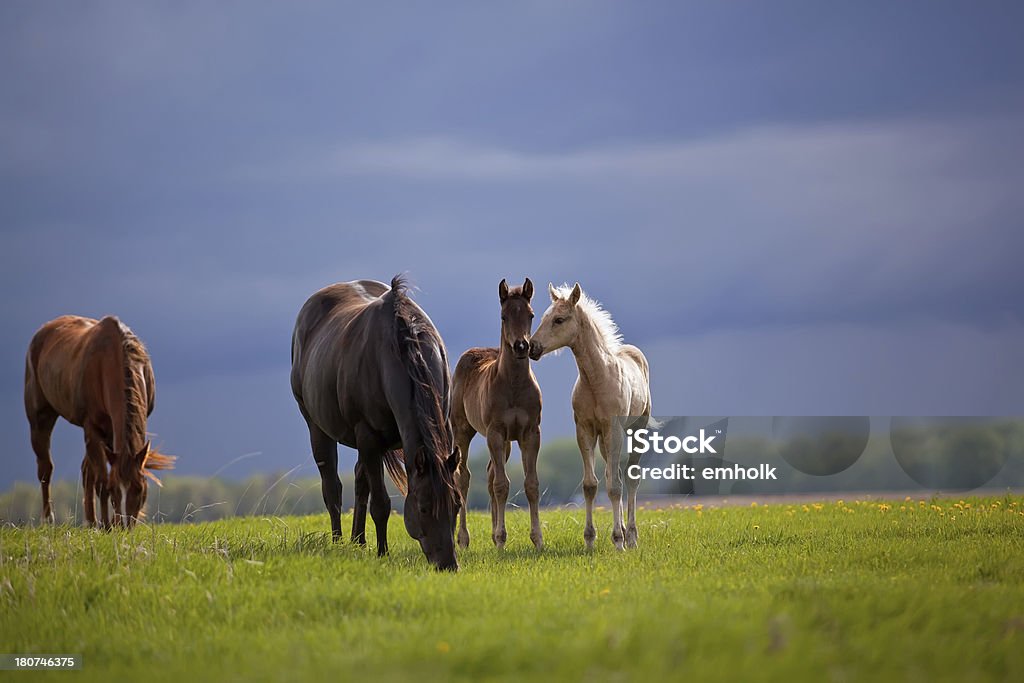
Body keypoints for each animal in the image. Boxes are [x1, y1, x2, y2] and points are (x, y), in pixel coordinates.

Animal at [23, 315, 174, 528]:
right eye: (114, 490)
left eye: (140, 488)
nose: (125, 526)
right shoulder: (92, 428)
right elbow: (101, 481)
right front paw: (108, 526)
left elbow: (95, 474)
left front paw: (106, 524)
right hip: (40, 419)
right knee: (46, 469)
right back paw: (49, 519)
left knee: (86, 470)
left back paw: (91, 522)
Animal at [290, 274, 462, 569]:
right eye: (424, 507)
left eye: (457, 504)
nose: (448, 564)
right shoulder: (369, 437)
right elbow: (381, 504)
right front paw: (383, 553)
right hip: (317, 426)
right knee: (333, 488)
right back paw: (338, 542)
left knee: (360, 483)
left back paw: (358, 541)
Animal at [450, 278, 540, 548]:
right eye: (503, 316)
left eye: (531, 314)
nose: (521, 346)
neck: (514, 385)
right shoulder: (495, 432)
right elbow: (502, 485)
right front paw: (501, 540)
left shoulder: (530, 433)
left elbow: (531, 484)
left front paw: (537, 539)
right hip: (463, 430)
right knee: (463, 477)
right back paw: (463, 539)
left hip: (508, 442)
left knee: (489, 474)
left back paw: (491, 533)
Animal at [532, 282, 651, 548]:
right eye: (542, 318)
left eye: (559, 319)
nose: (531, 347)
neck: (597, 379)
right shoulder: (584, 430)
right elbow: (590, 485)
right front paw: (589, 539)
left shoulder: (613, 430)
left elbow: (615, 487)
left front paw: (618, 541)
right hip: (606, 442)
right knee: (613, 472)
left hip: (635, 430)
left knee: (630, 478)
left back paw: (632, 536)